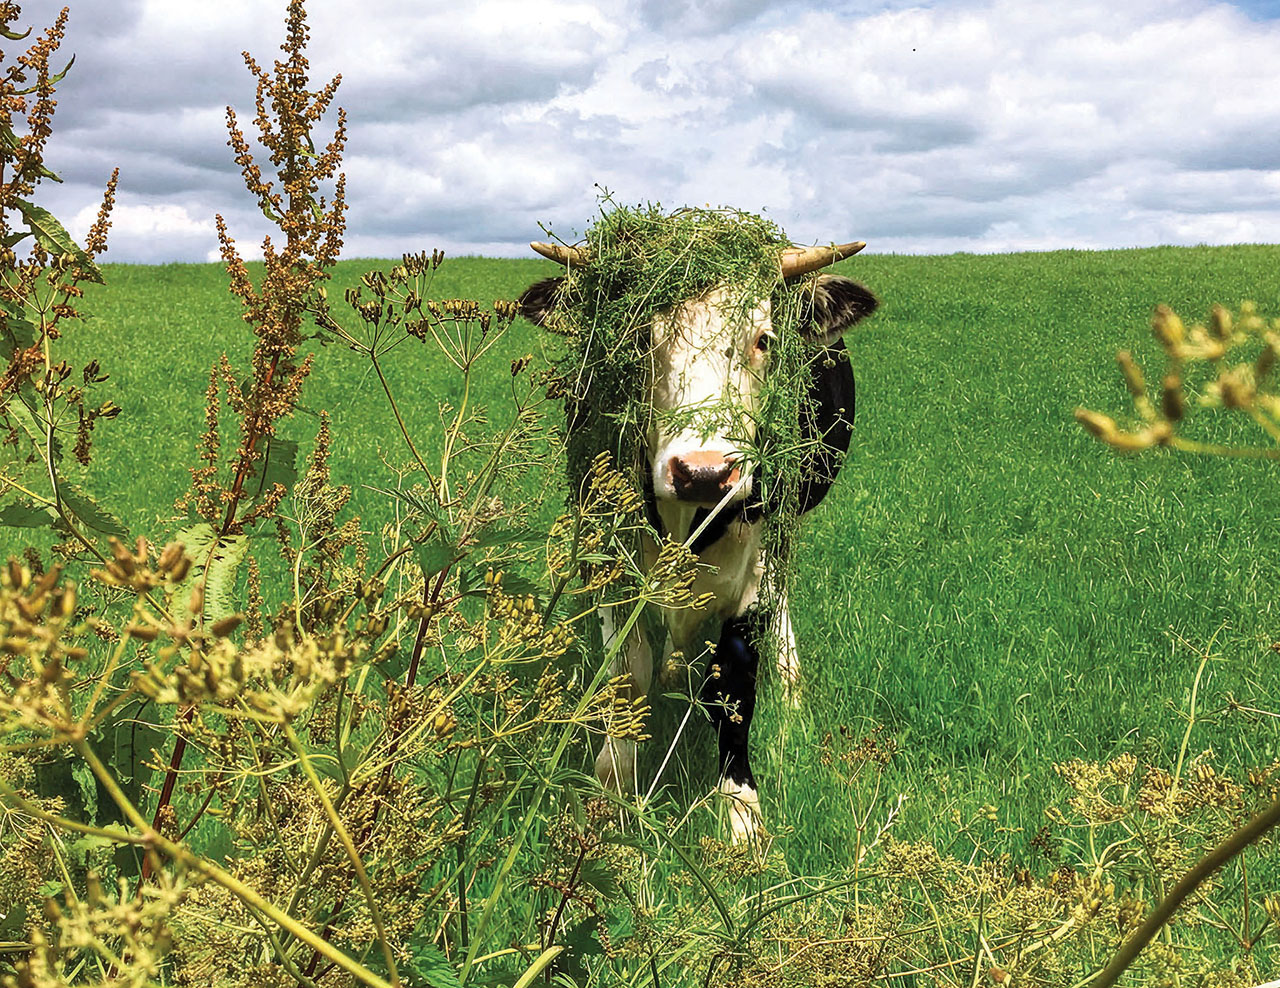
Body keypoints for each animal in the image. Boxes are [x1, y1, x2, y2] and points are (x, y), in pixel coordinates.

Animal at [518, 239, 877, 843]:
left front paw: (741, 814)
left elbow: (733, 686)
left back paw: (790, 681)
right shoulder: (608, 556)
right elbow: (627, 672)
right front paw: (612, 786)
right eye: (635, 337)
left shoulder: (752, 573)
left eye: (763, 339)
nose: (704, 473)